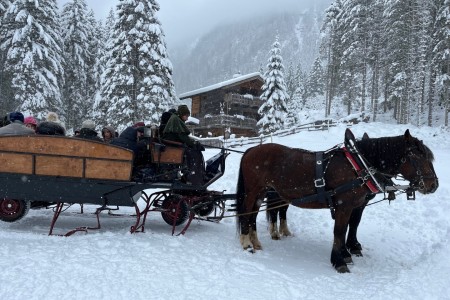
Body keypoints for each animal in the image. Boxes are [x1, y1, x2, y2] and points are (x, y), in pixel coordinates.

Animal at [237, 128, 438, 272]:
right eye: (417, 156)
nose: (433, 185)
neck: (358, 165)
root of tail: (251, 149)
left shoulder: (357, 205)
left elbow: (352, 225)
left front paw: (348, 251)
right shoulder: (344, 205)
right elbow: (340, 231)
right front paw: (340, 260)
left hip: (263, 193)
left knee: (255, 215)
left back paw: (256, 242)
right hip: (253, 192)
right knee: (247, 214)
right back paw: (246, 243)